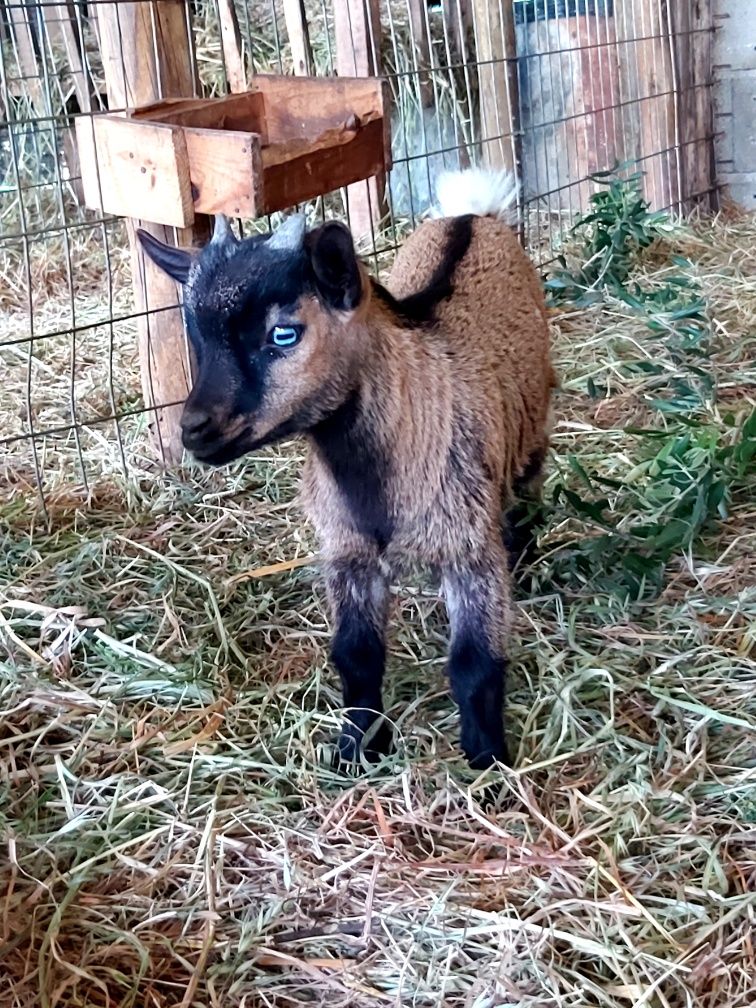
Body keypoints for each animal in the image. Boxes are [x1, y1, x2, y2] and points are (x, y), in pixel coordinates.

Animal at [139, 171, 552, 770]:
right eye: (195, 335)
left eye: (284, 334)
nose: (195, 429)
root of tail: (471, 216)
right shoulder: (345, 551)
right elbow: (356, 655)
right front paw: (358, 747)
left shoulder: (468, 547)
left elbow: (475, 663)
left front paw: (487, 760)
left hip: (533, 425)